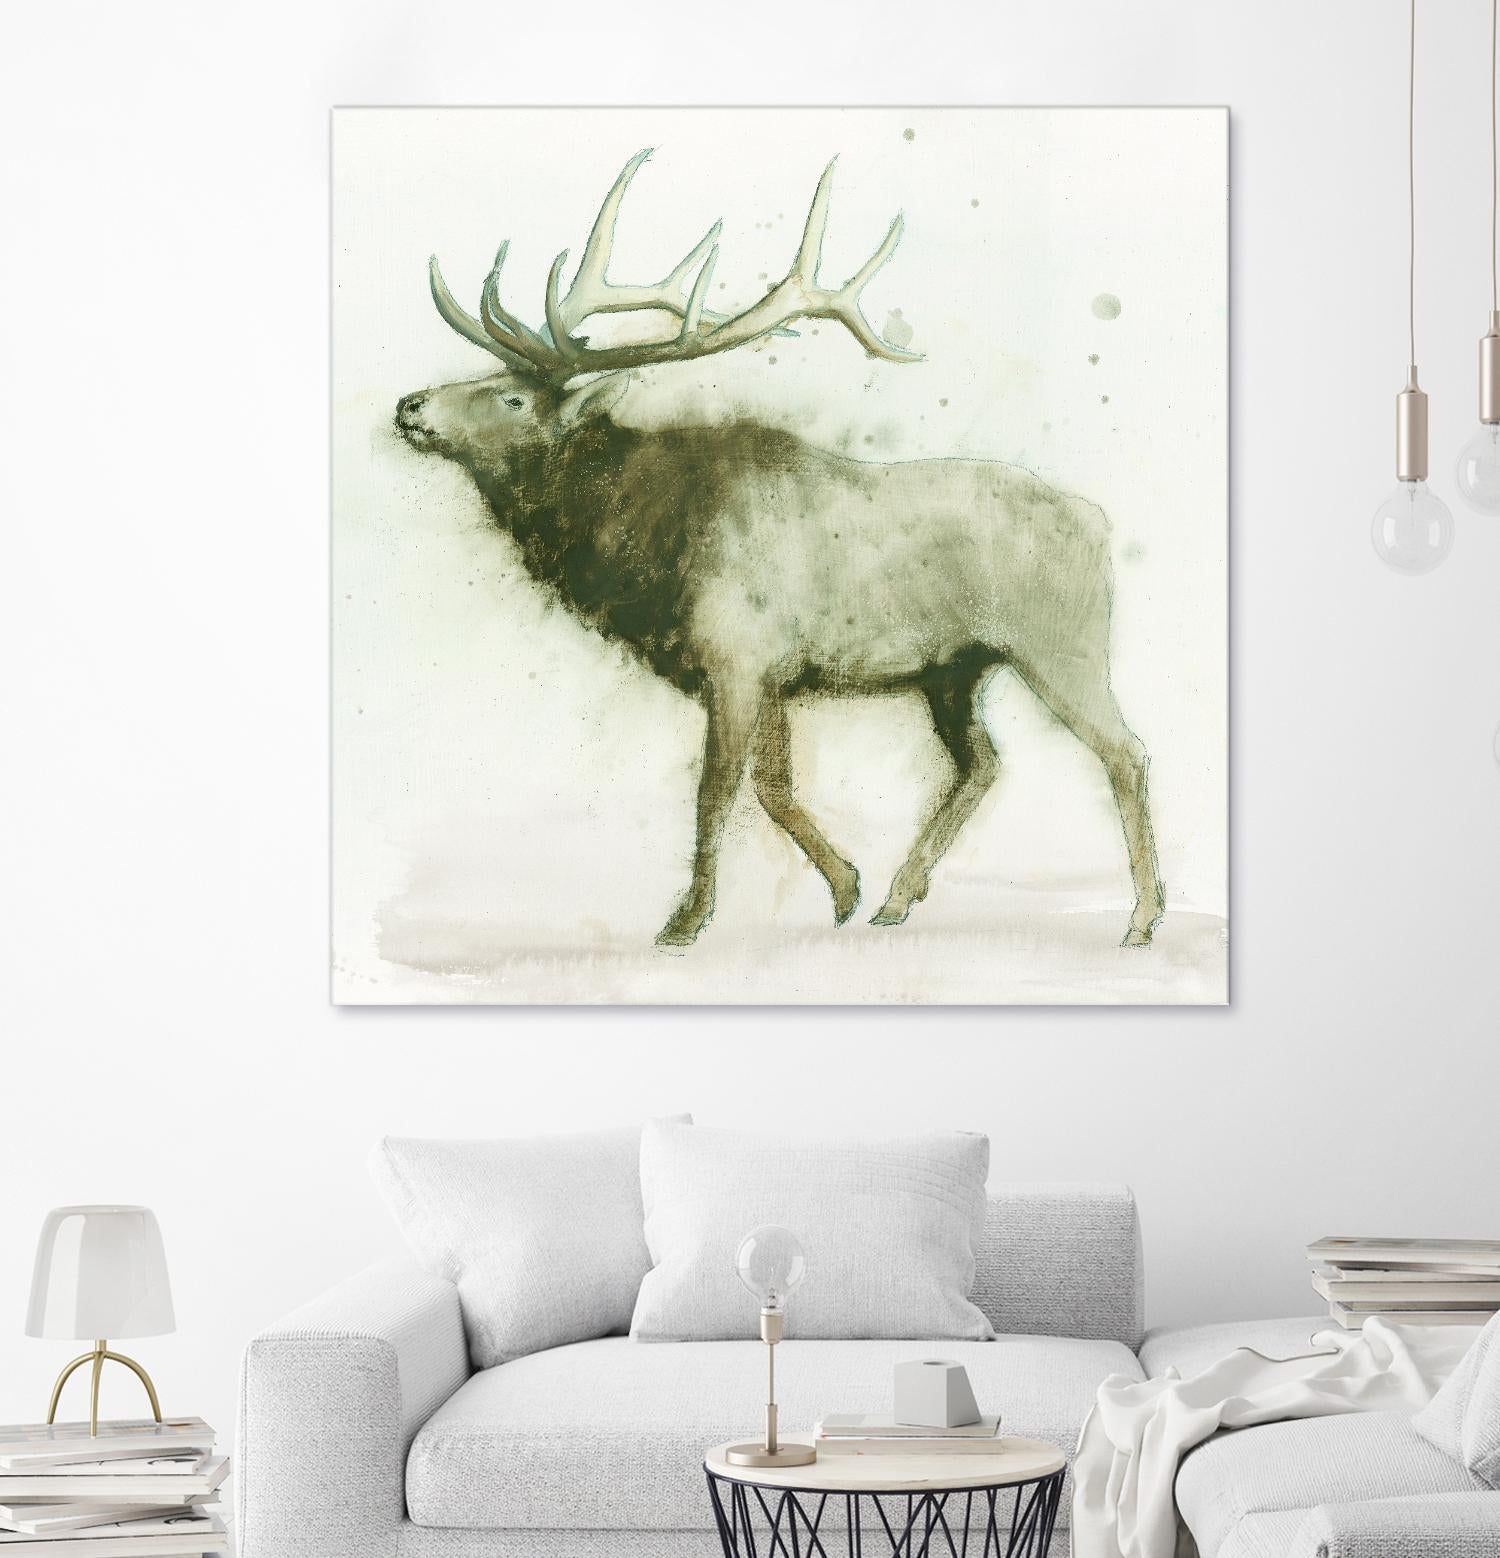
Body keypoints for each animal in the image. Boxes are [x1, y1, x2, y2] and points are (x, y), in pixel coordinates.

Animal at [394, 149, 1164, 950]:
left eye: (512, 398)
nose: (409, 406)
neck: (641, 552)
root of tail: (1098, 525)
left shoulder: (737, 657)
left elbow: (716, 793)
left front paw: (686, 920)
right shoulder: (772, 676)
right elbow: (773, 786)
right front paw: (846, 887)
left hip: (1060, 644)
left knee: (1125, 751)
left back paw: (1142, 918)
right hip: (953, 670)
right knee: (983, 764)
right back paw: (899, 897)